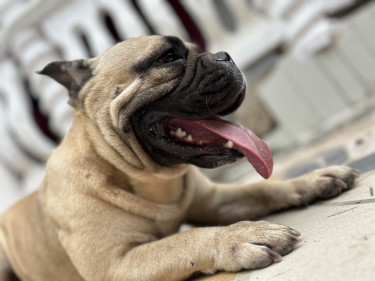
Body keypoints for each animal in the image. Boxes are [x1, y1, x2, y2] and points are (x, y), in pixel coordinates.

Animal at [0, 35, 360, 280]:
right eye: (168, 57)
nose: (224, 55)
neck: (148, 178)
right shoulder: (116, 264)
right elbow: (183, 240)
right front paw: (239, 237)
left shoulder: (215, 202)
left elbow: (261, 189)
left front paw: (312, 179)